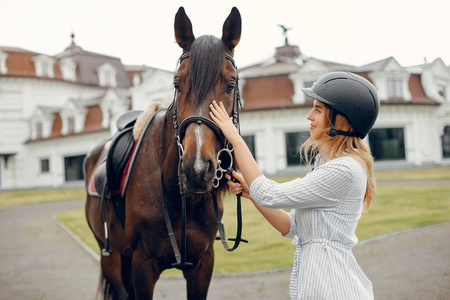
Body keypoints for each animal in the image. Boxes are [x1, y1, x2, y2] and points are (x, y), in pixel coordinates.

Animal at [82, 7, 241, 300]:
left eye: (231, 84)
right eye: (177, 84)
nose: (196, 170)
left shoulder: (203, 263)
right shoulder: (142, 266)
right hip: (110, 255)